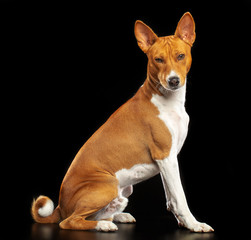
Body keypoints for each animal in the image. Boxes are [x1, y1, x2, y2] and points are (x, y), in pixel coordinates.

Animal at [31, 11, 214, 232]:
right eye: (158, 59)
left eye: (180, 56)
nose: (173, 81)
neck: (168, 101)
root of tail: (59, 205)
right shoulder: (166, 157)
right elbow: (180, 197)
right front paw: (194, 224)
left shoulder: (168, 161)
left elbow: (171, 198)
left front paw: (182, 222)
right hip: (107, 185)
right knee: (69, 221)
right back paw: (103, 225)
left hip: (123, 190)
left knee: (95, 214)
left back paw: (117, 215)